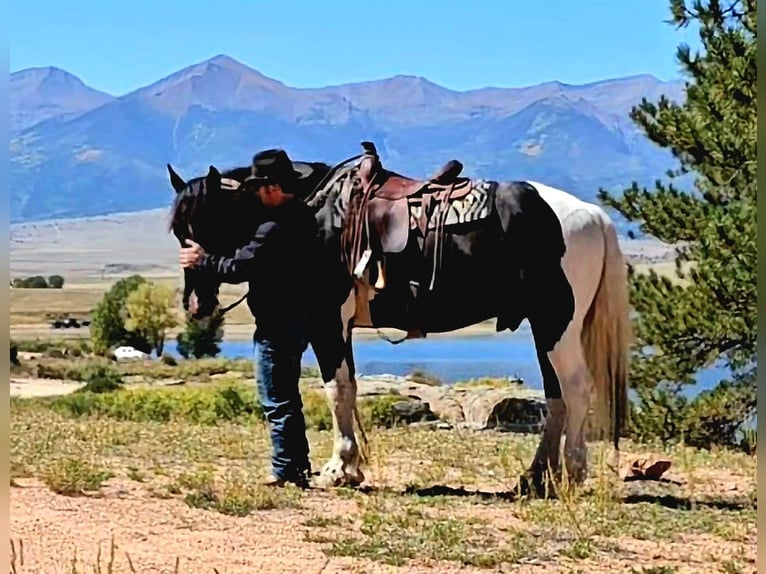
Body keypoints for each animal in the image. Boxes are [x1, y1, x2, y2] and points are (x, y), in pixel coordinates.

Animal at [166, 141, 632, 496]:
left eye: (208, 222)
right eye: (178, 230)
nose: (195, 305)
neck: (312, 214)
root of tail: (592, 216)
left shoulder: (327, 320)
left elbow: (336, 390)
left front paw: (339, 469)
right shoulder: (336, 326)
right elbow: (347, 389)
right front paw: (348, 467)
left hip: (557, 324)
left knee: (576, 389)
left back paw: (572, 475)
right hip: (544, 327)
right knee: (556, 397)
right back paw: (534, 479)